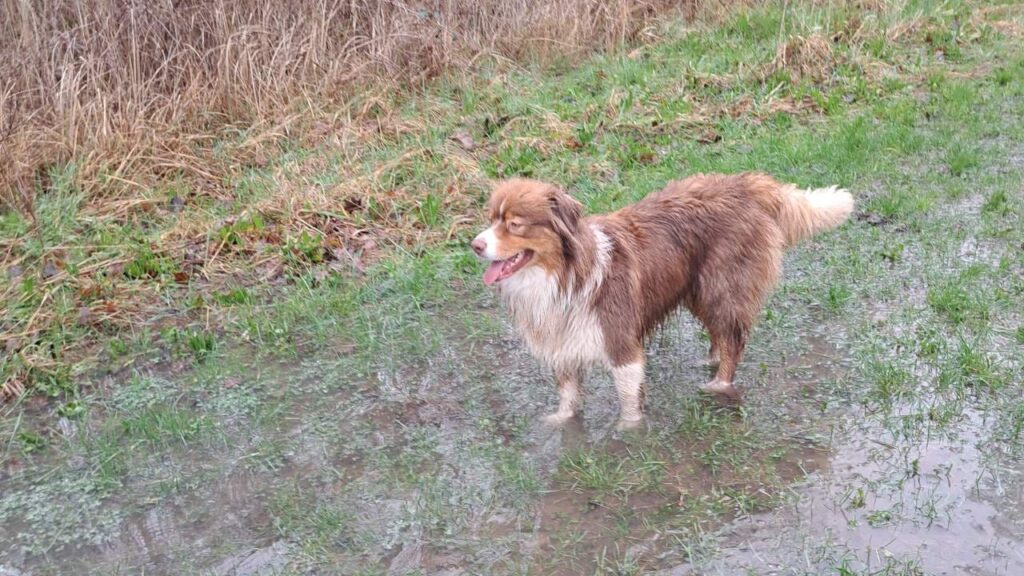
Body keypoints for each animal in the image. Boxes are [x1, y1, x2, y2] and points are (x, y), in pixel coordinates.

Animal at [473, 174, 856, 426]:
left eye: (515, 224)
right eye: (490, 219)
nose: (475, 244)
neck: (564, 275)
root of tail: (748, 183)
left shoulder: (620, 342)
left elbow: (628, 399)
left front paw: (627, 431)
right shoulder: (562, 342)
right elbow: (568, 393)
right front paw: (561, 421)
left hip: (721, 288)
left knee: (733, 339)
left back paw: (718, 384)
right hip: (697, 290)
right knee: (720, 335)